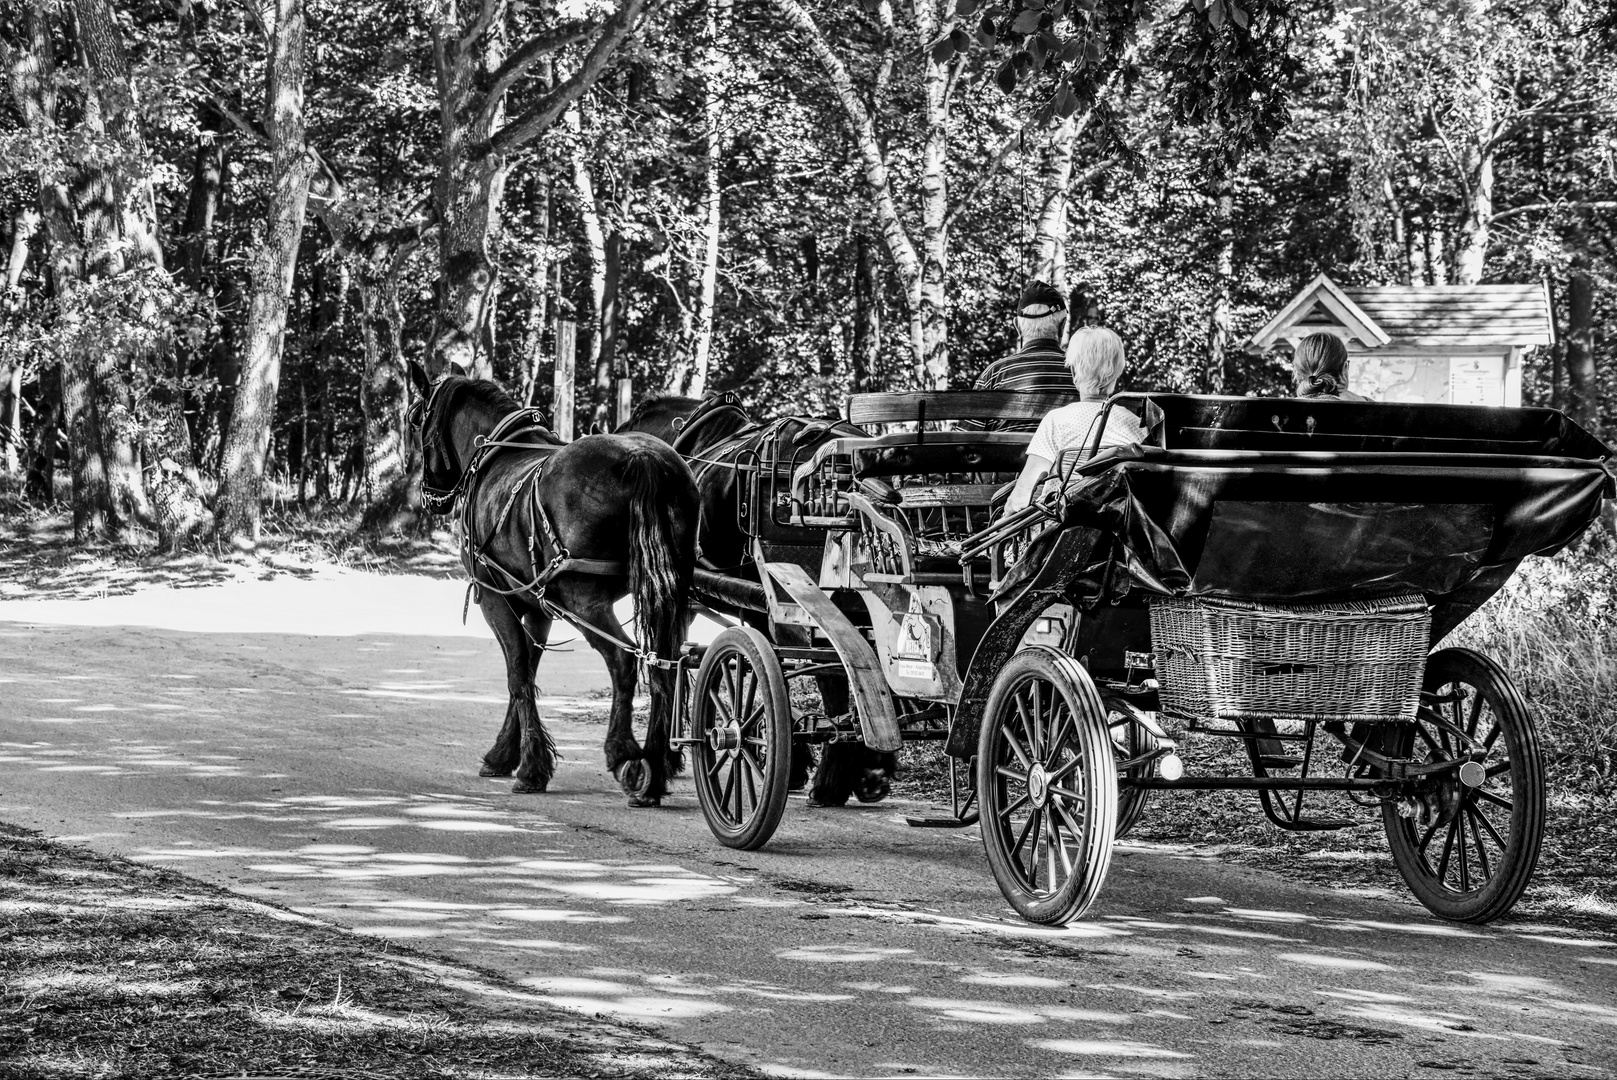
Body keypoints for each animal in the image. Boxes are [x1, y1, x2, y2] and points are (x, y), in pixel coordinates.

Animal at [407, 362, 698, 801]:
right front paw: (506, 753)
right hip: (671, 596)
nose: (430, 495)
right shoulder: (537, 606)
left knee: (624, 661)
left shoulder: (496, 598)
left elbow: (517, 675)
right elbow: (528, 669)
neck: (498, 455)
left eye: (414, 421)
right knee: (666, 665)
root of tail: (642, 457)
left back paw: (625, 754)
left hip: (585, 603)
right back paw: (657, 766)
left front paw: (530, 768)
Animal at [617, 392, 905, 805]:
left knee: (835, 674)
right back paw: (869, 768)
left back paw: (833, 778)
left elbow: (666, 672)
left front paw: (651, 773)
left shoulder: (682, 598)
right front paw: (794, 758)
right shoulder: (759, 610)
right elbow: (770, 673)